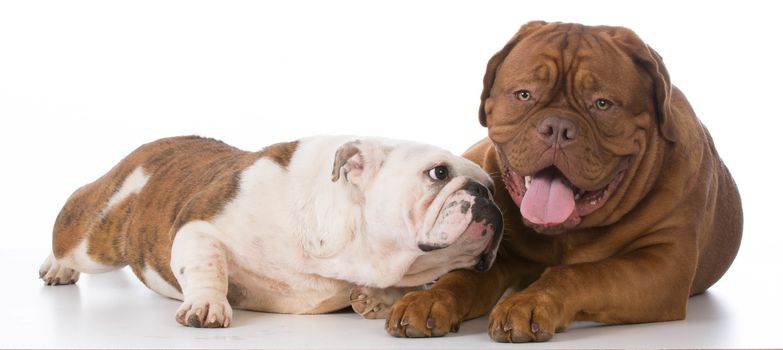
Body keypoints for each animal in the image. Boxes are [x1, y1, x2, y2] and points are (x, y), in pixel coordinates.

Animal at [39, 135, 502, 326]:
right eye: (438, 173)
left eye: (494, 186)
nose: (486, 195)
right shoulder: (200, 227)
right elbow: (207, 264)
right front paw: (207, 304)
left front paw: (374, 298)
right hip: (94, 238)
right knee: (71, 233)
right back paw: (57, 267)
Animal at [388, 21, 744, 342]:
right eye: (524, 94)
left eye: (602, 103)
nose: (558, 127)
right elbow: (461, 276)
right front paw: (430, 299)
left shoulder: (664, 264)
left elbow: (582, 273)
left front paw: (529, 302)